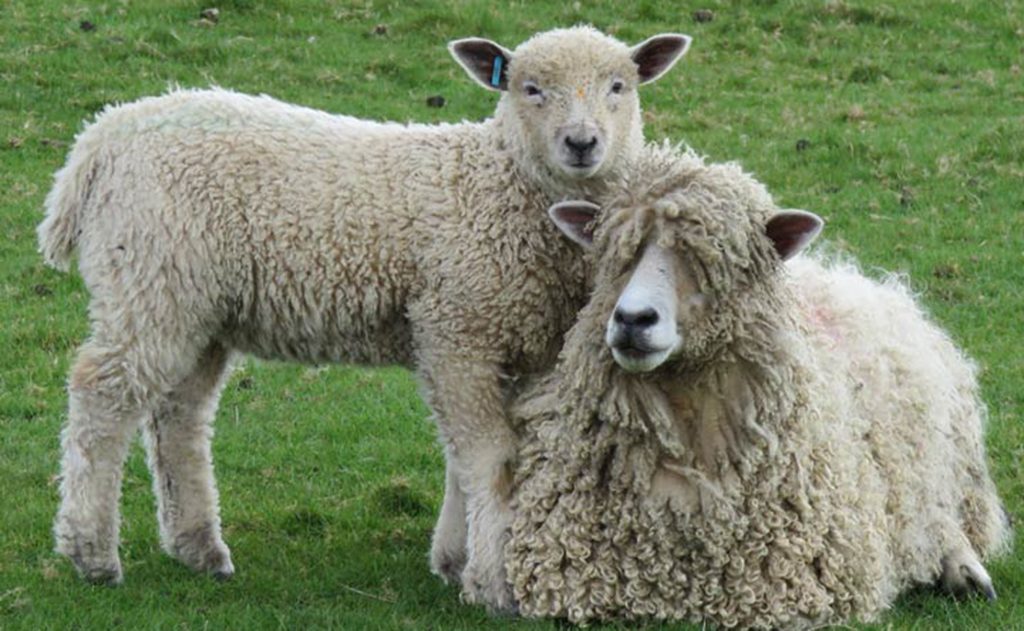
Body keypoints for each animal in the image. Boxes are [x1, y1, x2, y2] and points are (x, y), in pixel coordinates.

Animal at [37, 25, 696, 610]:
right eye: (529, 88)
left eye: (619, 86)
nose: (582, 143)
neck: (499, 181)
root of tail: (100, 139)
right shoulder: (457, 329)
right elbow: (492, 459)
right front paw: (493, 584)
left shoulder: (514, 344)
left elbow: (470, 457)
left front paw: (455, 559)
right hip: (151, 280)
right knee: (101, 395)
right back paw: (90, 552)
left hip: (198, 306)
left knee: (179, 415)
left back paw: (198, 547)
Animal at [503, 145, 1007, 626]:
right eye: (616, 253)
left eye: (714, 260)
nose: (632, 319)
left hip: (941, 463)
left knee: (937, 517)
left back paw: (964, 571)